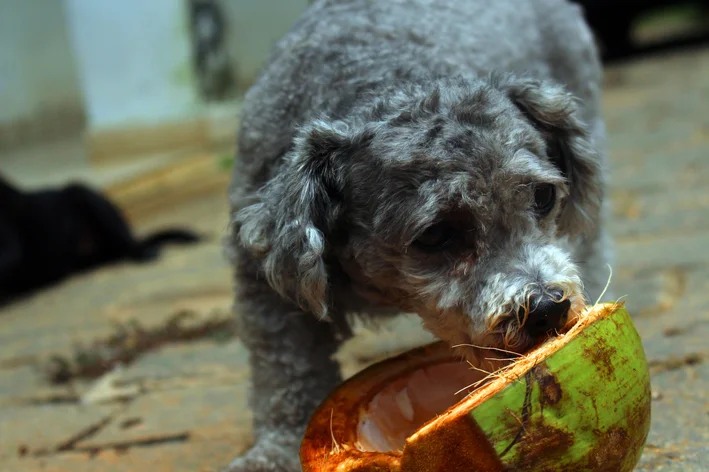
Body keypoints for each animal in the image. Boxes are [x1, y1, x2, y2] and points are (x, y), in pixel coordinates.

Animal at [224, 1, 612, 470]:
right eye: (436, 234)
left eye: (543, 196)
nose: (546, 309)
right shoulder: (263, 275)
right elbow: (285, 371)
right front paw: (274, 450)